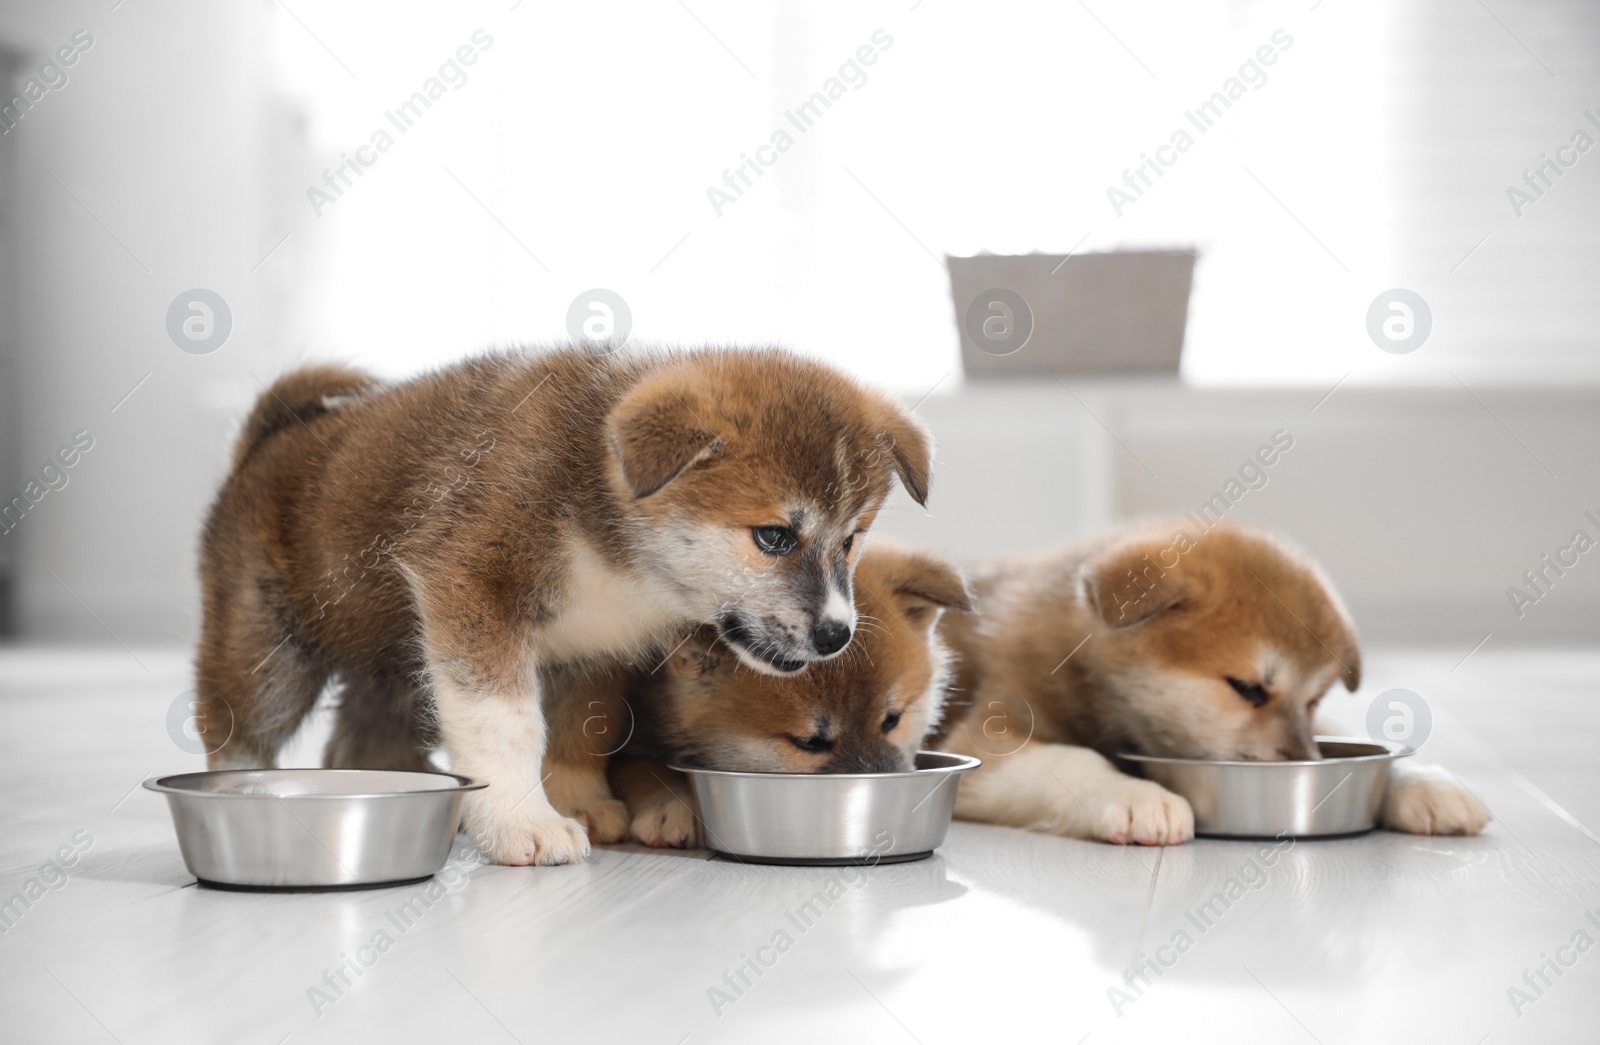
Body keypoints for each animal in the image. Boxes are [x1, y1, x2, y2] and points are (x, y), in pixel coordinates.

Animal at [934, 518, 1491, 844]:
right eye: (1248, 689)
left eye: (1313, 700)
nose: (1306, 764)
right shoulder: (986, 739)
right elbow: (1072, 760)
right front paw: (1133, 795)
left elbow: (1354, 738)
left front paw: (1421, 780)